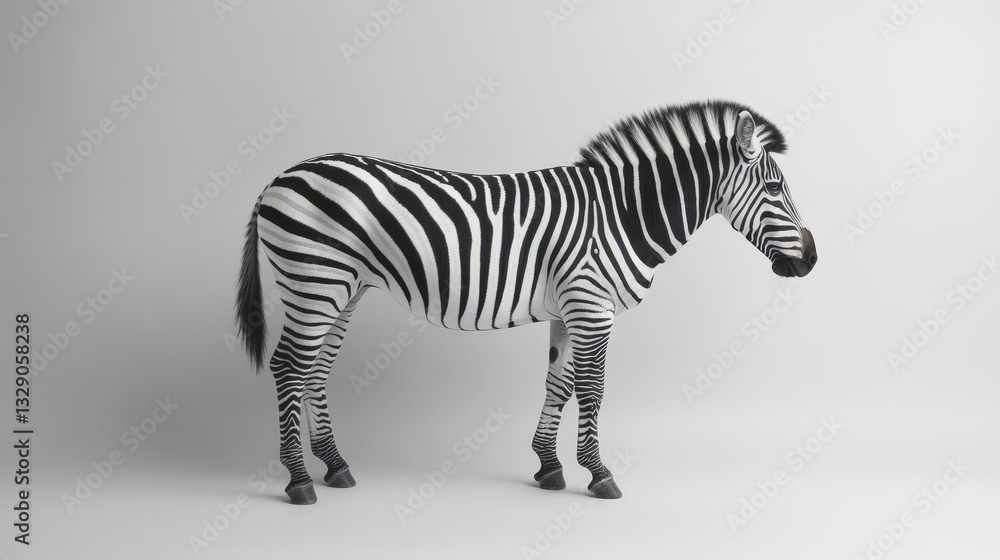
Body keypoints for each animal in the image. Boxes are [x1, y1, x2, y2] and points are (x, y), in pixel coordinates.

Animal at [235, 99, 817, 505]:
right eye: (774, 189)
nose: (811, 259)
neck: (622, 214)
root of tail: (280, 177)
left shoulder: (569, 309)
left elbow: (559, 384)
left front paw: (548, 467)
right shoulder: (592, 306)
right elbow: (593, 389)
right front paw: (598, 473)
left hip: (343, 289)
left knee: (315, 370)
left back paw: (335, 467)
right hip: (315, 280)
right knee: (289, 367)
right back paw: (298, 480)